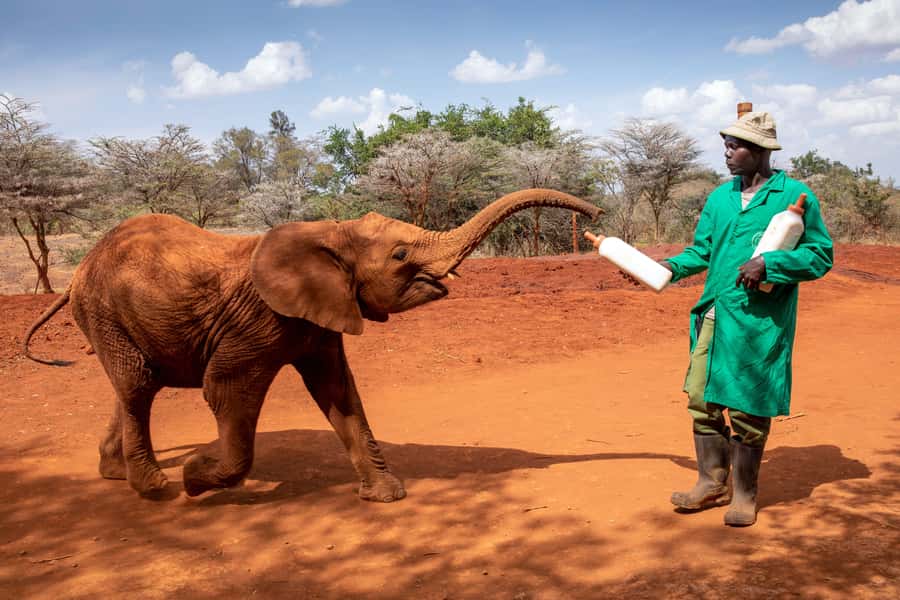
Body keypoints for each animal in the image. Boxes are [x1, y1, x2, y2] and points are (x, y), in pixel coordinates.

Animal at [24, 188, 601, 501]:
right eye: (399, 256)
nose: (594, 217)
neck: (330, 233)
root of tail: (81, 269)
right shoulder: (258, 320)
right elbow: (225, 390)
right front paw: (194, 478)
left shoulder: (322, 314)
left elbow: (339, 391)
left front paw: (386, 497)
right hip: (104, 310)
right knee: (138, 386)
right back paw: (156, 488)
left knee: (131, 386)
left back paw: (115, 472)